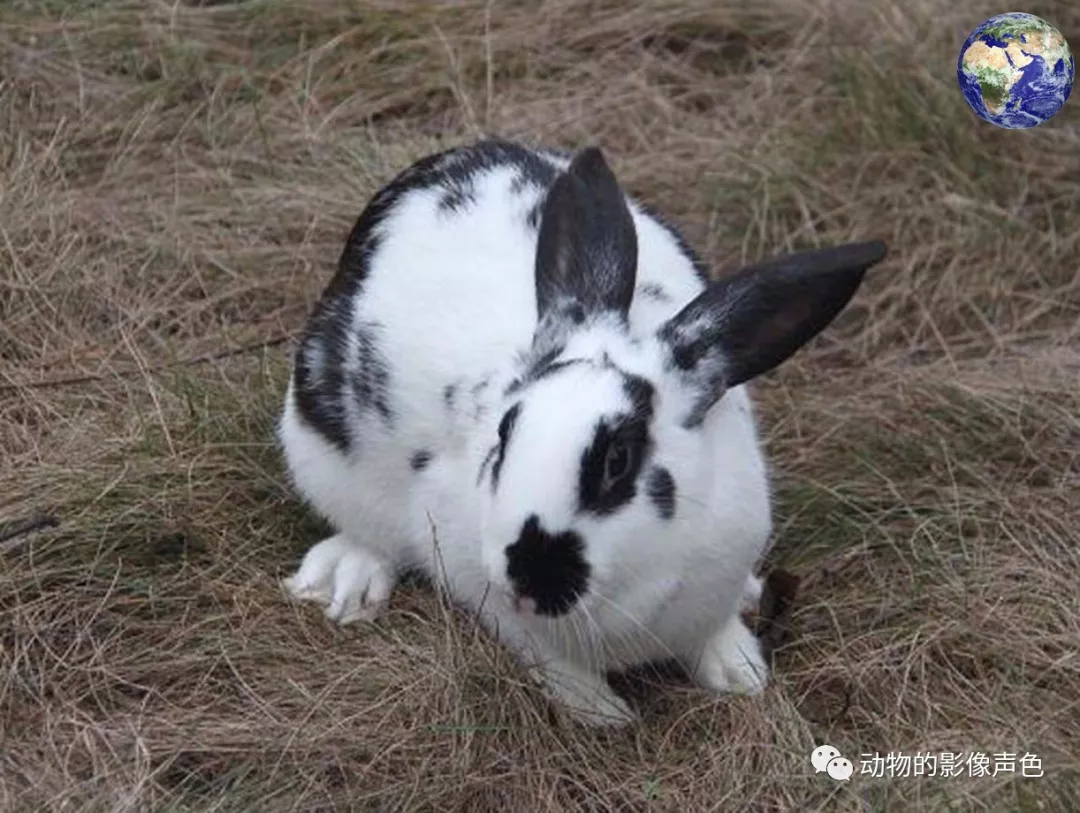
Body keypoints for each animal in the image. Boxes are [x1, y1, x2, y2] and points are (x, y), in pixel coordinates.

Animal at [276, 138, 885, 721]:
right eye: (504, 433)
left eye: (618, 459)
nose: (529, 572)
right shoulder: (487, 594)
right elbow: (552, 663)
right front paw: (604, 713)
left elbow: (713, 632)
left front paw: (741, 675)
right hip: (319, 457)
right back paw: (345, 582)